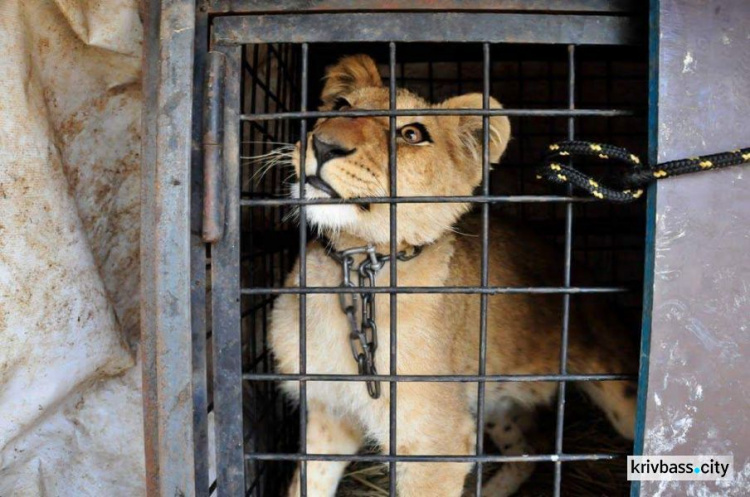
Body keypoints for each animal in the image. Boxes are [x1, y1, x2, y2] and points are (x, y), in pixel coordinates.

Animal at [268, 54, 636, 496]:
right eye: (340, 106)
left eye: (411, 134)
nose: (324, 145)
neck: (355, 264)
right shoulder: (330, 415)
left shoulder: (435, 442)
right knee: (526, 451)